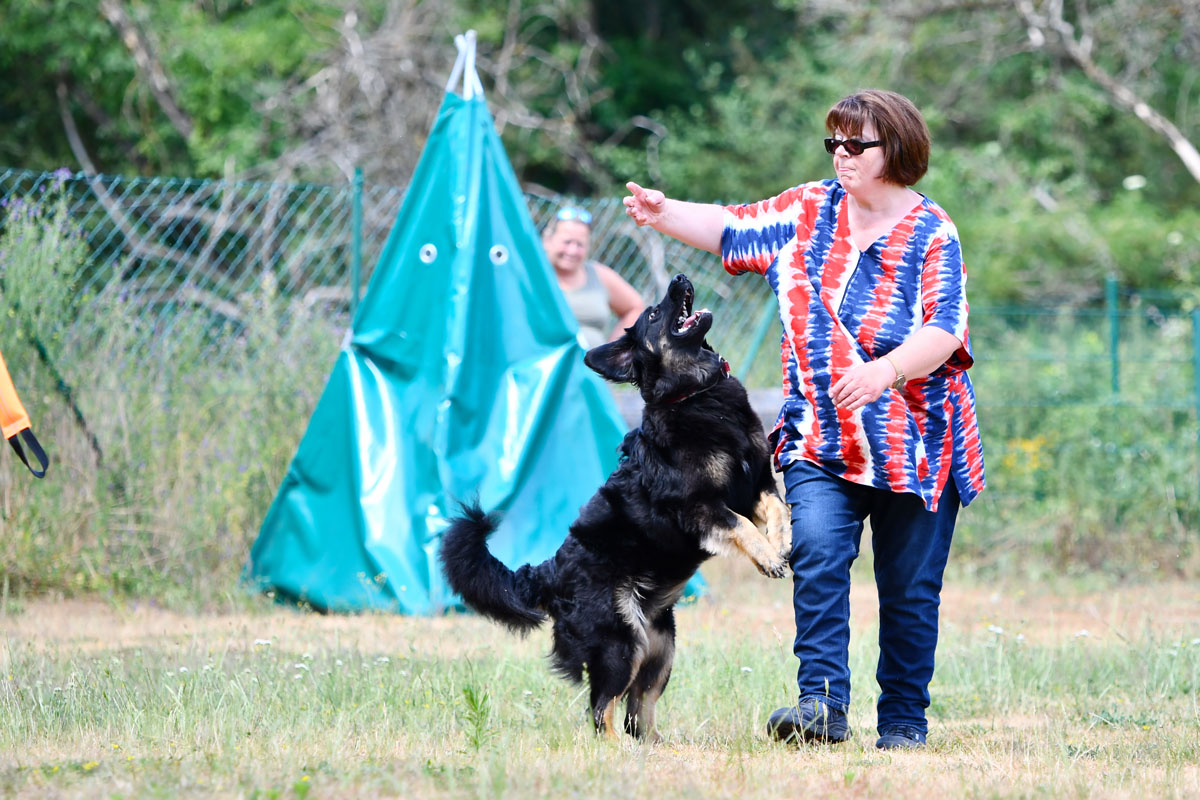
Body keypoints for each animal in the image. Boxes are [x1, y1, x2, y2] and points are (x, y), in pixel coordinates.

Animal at [439, 272, 787, 743]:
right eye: (654, 314)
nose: (680, 278)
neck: (694, 394)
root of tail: (549, 575)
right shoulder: (698, 507)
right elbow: (741, 528)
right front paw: (768, 558)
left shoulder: (756, 487)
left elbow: (778, 509)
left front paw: (781, 544)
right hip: (621, 643)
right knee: (602, 709)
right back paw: (617, 751)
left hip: (661, 649)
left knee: (637, 711)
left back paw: (657, 748)